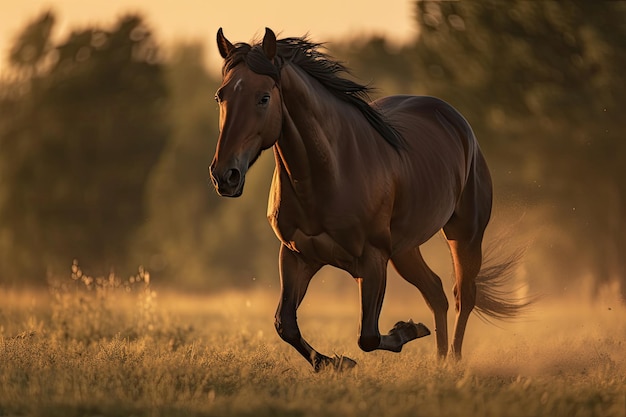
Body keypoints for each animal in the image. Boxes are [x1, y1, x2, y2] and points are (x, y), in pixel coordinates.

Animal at [207, 27, 524, 368]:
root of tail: (456, 120)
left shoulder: (372, 260)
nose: (224, 176)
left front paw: (405, 331)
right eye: (220, 96)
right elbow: (286, 325)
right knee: (436, 293)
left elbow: (368, 336)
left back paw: (453, 360)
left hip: (464, 234)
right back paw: (439, 362)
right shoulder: (296, 255)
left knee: (462, 296)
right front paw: (335, 363)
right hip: (404, 250)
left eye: (264, 97)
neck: (328, 173)